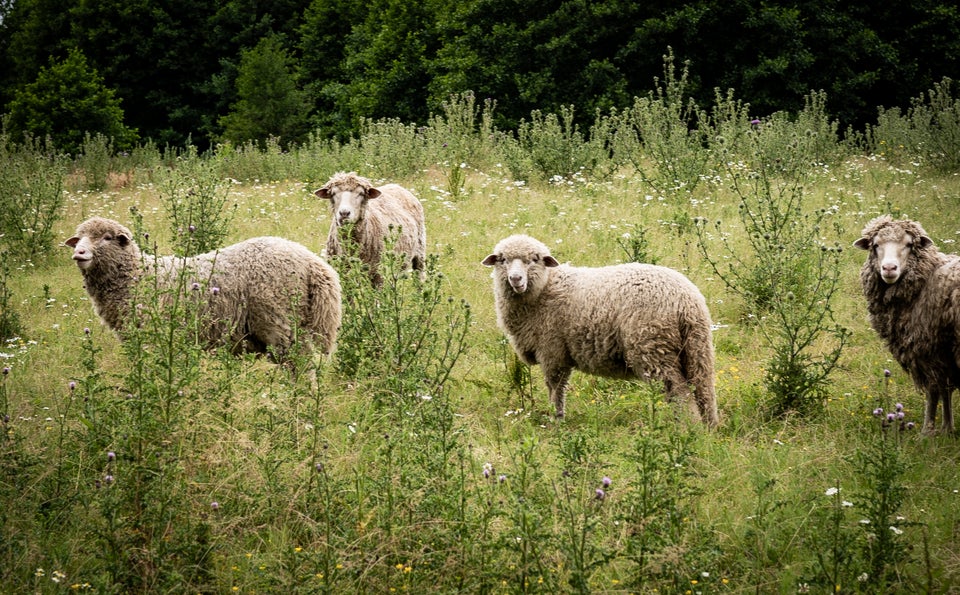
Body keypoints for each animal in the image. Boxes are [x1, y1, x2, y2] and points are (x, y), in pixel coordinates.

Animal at [64, 214, 342, 364]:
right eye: (79, 239)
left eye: (106, 238)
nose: (79, 253)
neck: (139, 274)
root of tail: (313, 263)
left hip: (280, 324)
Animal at [480, 234, 720, 428]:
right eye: (502, 259)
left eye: (534, 259)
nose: (516, 279)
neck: (545, 289)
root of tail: (688, 300)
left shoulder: (552, 352)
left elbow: (555, 388)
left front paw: (556, 420)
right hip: (695, 348)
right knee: (703, 389)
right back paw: (707, 427)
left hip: (653, 347)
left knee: (679, 392)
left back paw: (685, 428)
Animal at [856, 214, 960, 434]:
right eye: (875, 245)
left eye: (909, 244)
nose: (889, 268)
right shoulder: (943, 351)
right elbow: (946, 389)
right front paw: (947, 428)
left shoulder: (927, 349)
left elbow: (933, 390)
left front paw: (927, 431)